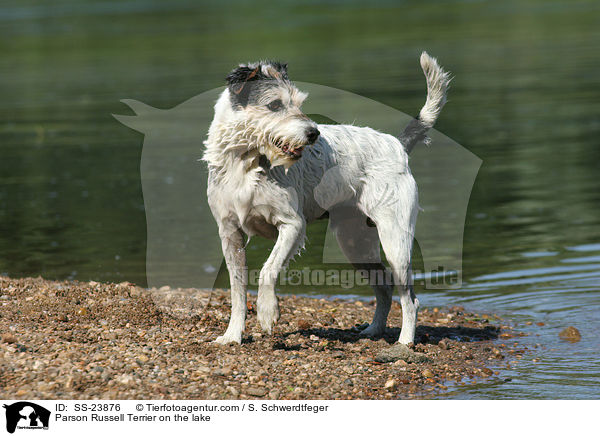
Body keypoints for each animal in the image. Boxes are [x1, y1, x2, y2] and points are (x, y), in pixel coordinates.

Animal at [204, 52, 448, 344]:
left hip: (395, 242)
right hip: (355, 243)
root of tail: (397, 144)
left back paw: (404, 342)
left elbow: (268, 269)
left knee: (410, 299)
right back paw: (374, 330)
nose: (313, 133)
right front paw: (232, 335)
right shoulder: (230, 233)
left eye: (298, 103)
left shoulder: (292, 225)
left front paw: (267, 311)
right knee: (384, 288)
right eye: (274, 105)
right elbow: (237, 290)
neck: (246, 163)